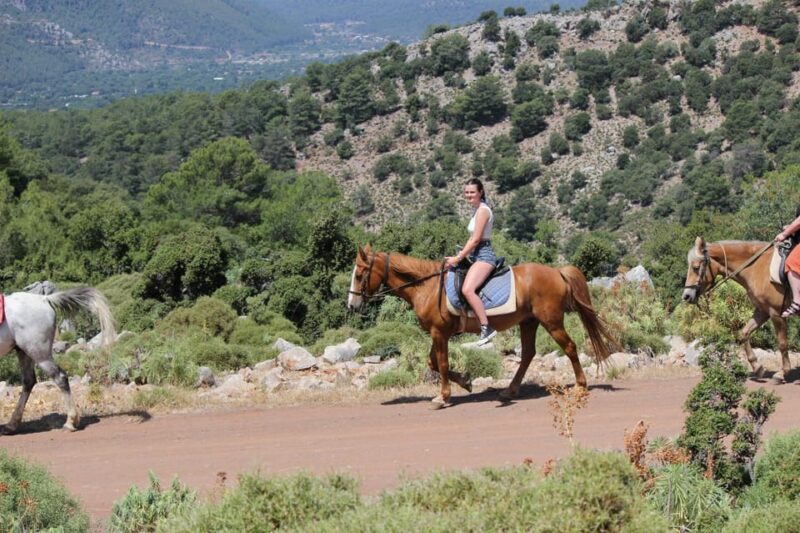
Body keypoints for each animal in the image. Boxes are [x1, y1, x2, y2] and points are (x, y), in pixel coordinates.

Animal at [0, 287, 116, 432]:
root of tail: (44, 299)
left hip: (39, 353)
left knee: (60, 378)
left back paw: (70, 422)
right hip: (24, 351)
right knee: (28, 381)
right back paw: (12, 424)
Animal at [347, 245, 619, 409]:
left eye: (360, 275)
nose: (352, 305)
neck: (426, 286)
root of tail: (557, 272)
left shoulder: (439, 333)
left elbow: (441, 364)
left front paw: (443, 397)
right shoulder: (439, 334)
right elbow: (432, 362)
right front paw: (465, 381)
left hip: (551, 322)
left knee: (570, 347)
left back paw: (580, 386)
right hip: (529, 322)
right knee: (528, 354)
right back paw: (509, 391)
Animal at [681, 236, 795, 383]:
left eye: (696, 268)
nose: (686, 296)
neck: (757, 267)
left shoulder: (776, 313)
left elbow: (782, 343)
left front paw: (782, 372)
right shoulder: (762, 311)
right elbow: (744, 333)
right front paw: (757, 367)